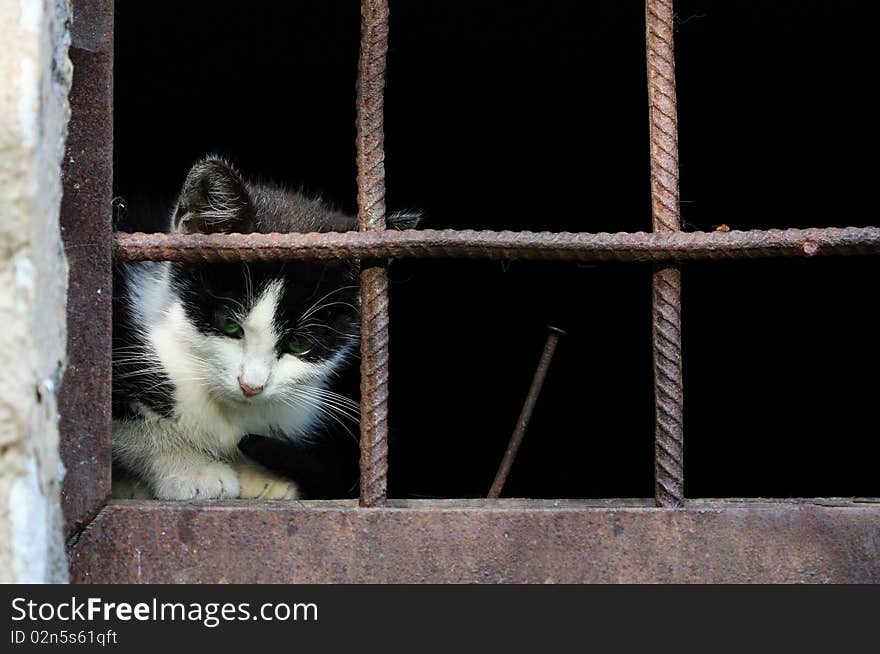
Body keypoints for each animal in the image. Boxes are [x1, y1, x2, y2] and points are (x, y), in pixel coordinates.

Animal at [113, 159, 360, 502]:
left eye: (300, 344)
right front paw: (190, 469)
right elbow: (128, 425)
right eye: (228, 323)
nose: (251, 386)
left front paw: (260, 476)